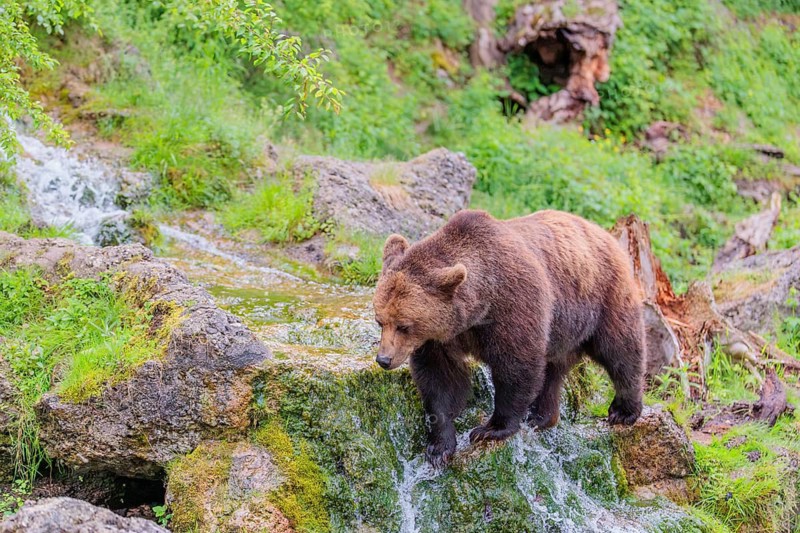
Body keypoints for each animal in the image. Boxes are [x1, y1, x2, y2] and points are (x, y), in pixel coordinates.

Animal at [372, 209, 645, 466]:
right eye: (380, 320)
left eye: (404, 325)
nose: (384, 359)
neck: (478, 308)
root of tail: (601, 231)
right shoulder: (439, 339)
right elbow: (440, 380)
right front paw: (439, 446)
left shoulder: (513, 305)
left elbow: (516, 366)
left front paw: (490, 428)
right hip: (561, 330)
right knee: (553, 369)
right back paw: (540, 415)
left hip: (602, 297)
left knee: (621, 349)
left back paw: (623, 410)